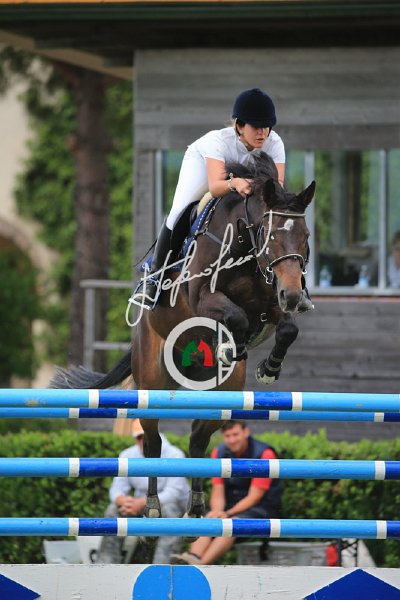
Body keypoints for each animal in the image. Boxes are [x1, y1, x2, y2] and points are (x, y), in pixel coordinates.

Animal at [51, 151, 315, 524]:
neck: (244, 246)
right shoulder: (204, 298)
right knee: (153, 441)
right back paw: (152, 505)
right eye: (270, 236)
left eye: (305, 236)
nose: (293, 295)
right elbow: (235, 316)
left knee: (197, 439)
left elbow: (288, 328)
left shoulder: (272, 301)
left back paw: (197, 505)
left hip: (223, 399)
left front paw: (267, 367)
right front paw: (232, 344)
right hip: (151, 383)